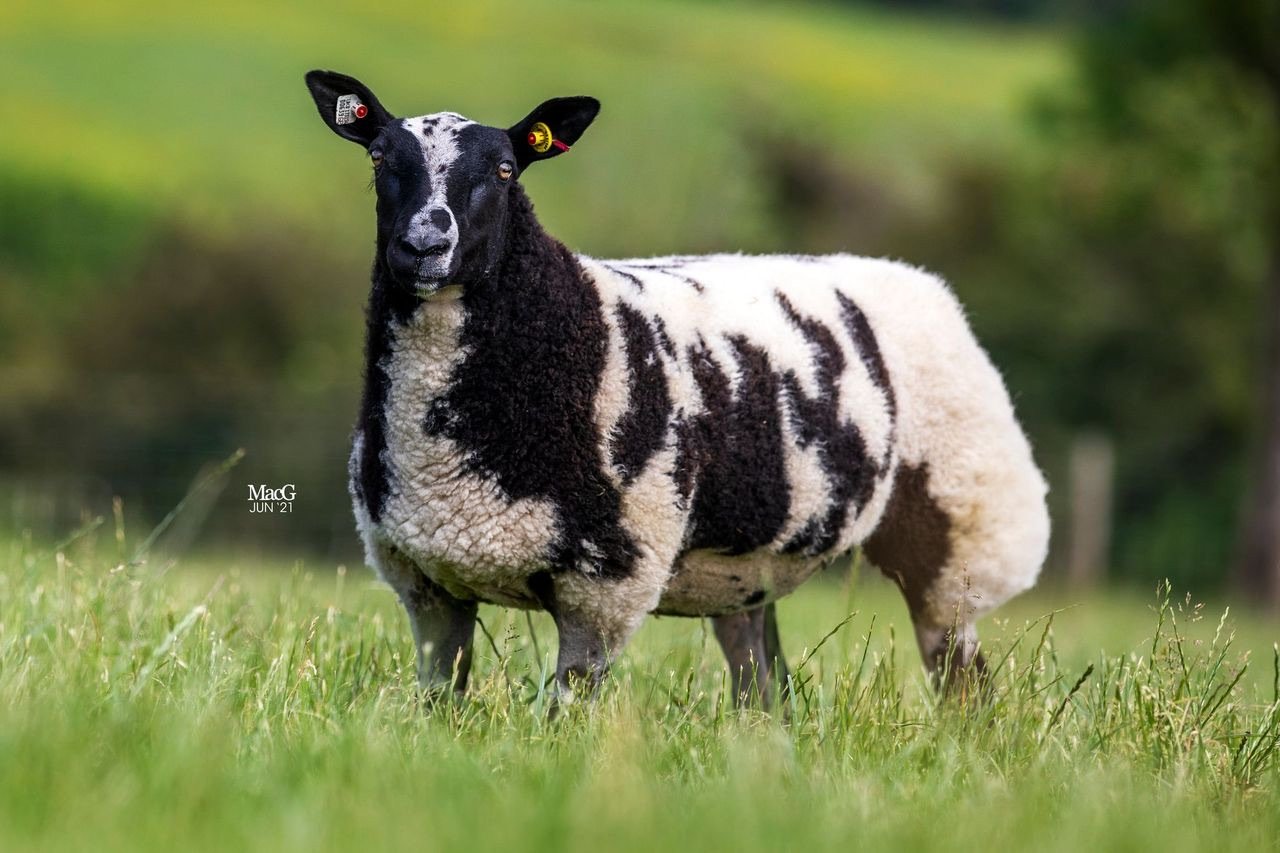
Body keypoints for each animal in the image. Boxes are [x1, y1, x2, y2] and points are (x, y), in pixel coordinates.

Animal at [304, 70, 1051, 707]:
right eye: (379, 161)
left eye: (505, 170)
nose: (424, 246)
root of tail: (918, 277)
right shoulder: (427, 583)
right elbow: (442, 706)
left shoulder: (606, 584)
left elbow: (565, 713)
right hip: (747, 568)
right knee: (764, 685)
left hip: (963, 524)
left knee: (962, 677)